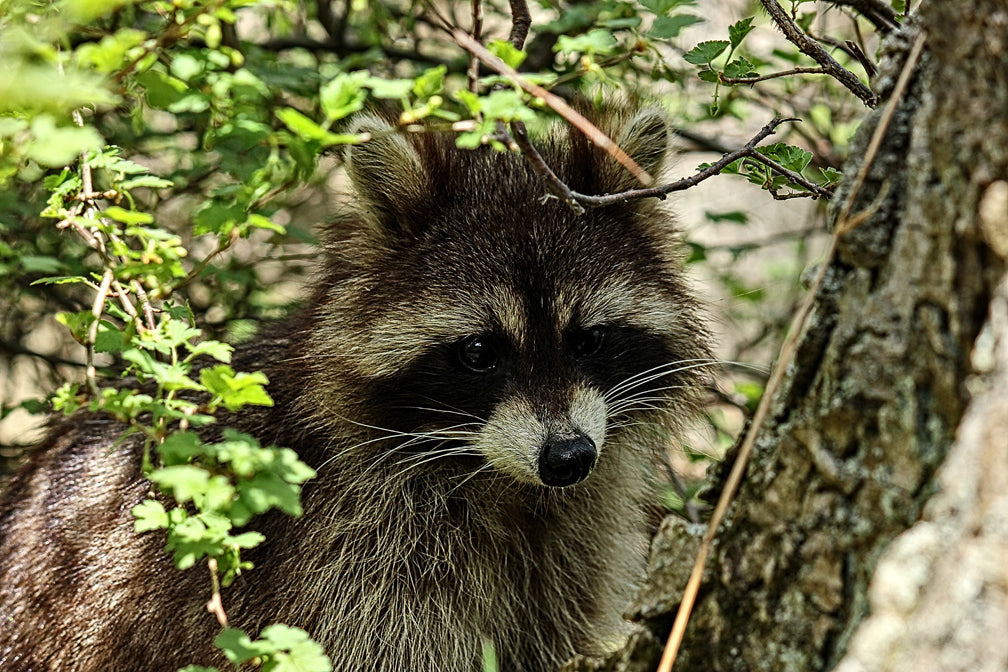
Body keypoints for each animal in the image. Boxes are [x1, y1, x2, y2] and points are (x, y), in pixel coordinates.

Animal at [0, 111, 709, 672]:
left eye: (589, 339)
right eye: (480, 353)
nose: (568, 458)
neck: (499, 481)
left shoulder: (570, 546)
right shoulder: (343, 562)